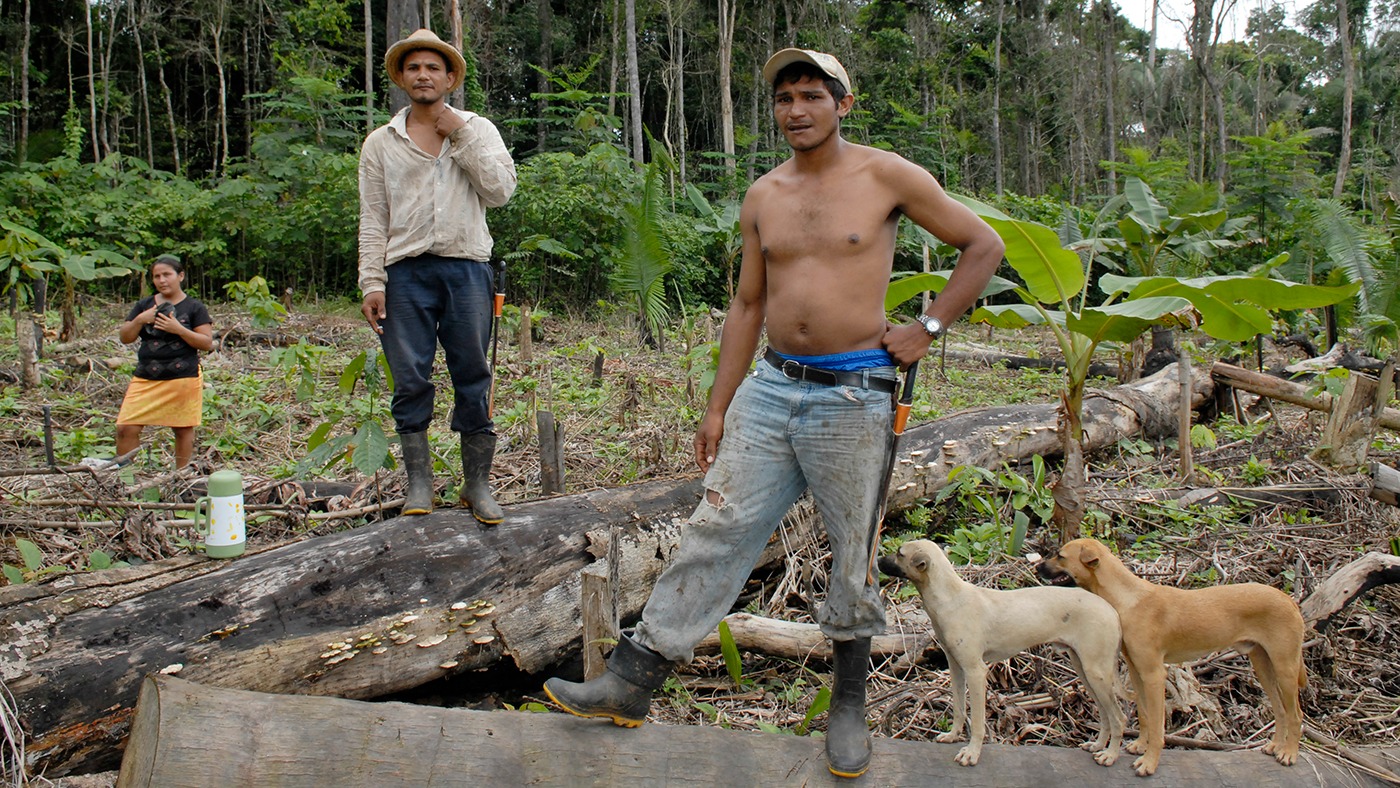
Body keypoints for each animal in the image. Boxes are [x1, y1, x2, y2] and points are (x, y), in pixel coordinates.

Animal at [884, 540, 1125, 767]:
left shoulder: (976, 672)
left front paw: (972, 754)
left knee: (1119, 718)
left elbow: (977, 722)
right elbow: (959, 709)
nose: (878, 561)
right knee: (1105, 714)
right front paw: (952, 736)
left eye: (899, 553)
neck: (951, 598)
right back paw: (1097, 745)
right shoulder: (956, 668)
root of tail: (1112, 610)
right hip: (1084, 670)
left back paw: (1110, 755)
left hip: (1096, 674)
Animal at [1036, 540, 1304, 778]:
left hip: (1285, 668)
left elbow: (1157, 725)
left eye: (1060, 556)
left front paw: (1149, 763)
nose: (1037, 566)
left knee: (1296, 714)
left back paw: (1289, 753)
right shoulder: (1137, 671)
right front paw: (1140, 746)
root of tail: (1289, 600)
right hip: (1263, 665)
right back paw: (1276, 746)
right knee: (1280, 710)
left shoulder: (1154, 674)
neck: (1128, 598)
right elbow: (1144, 714)